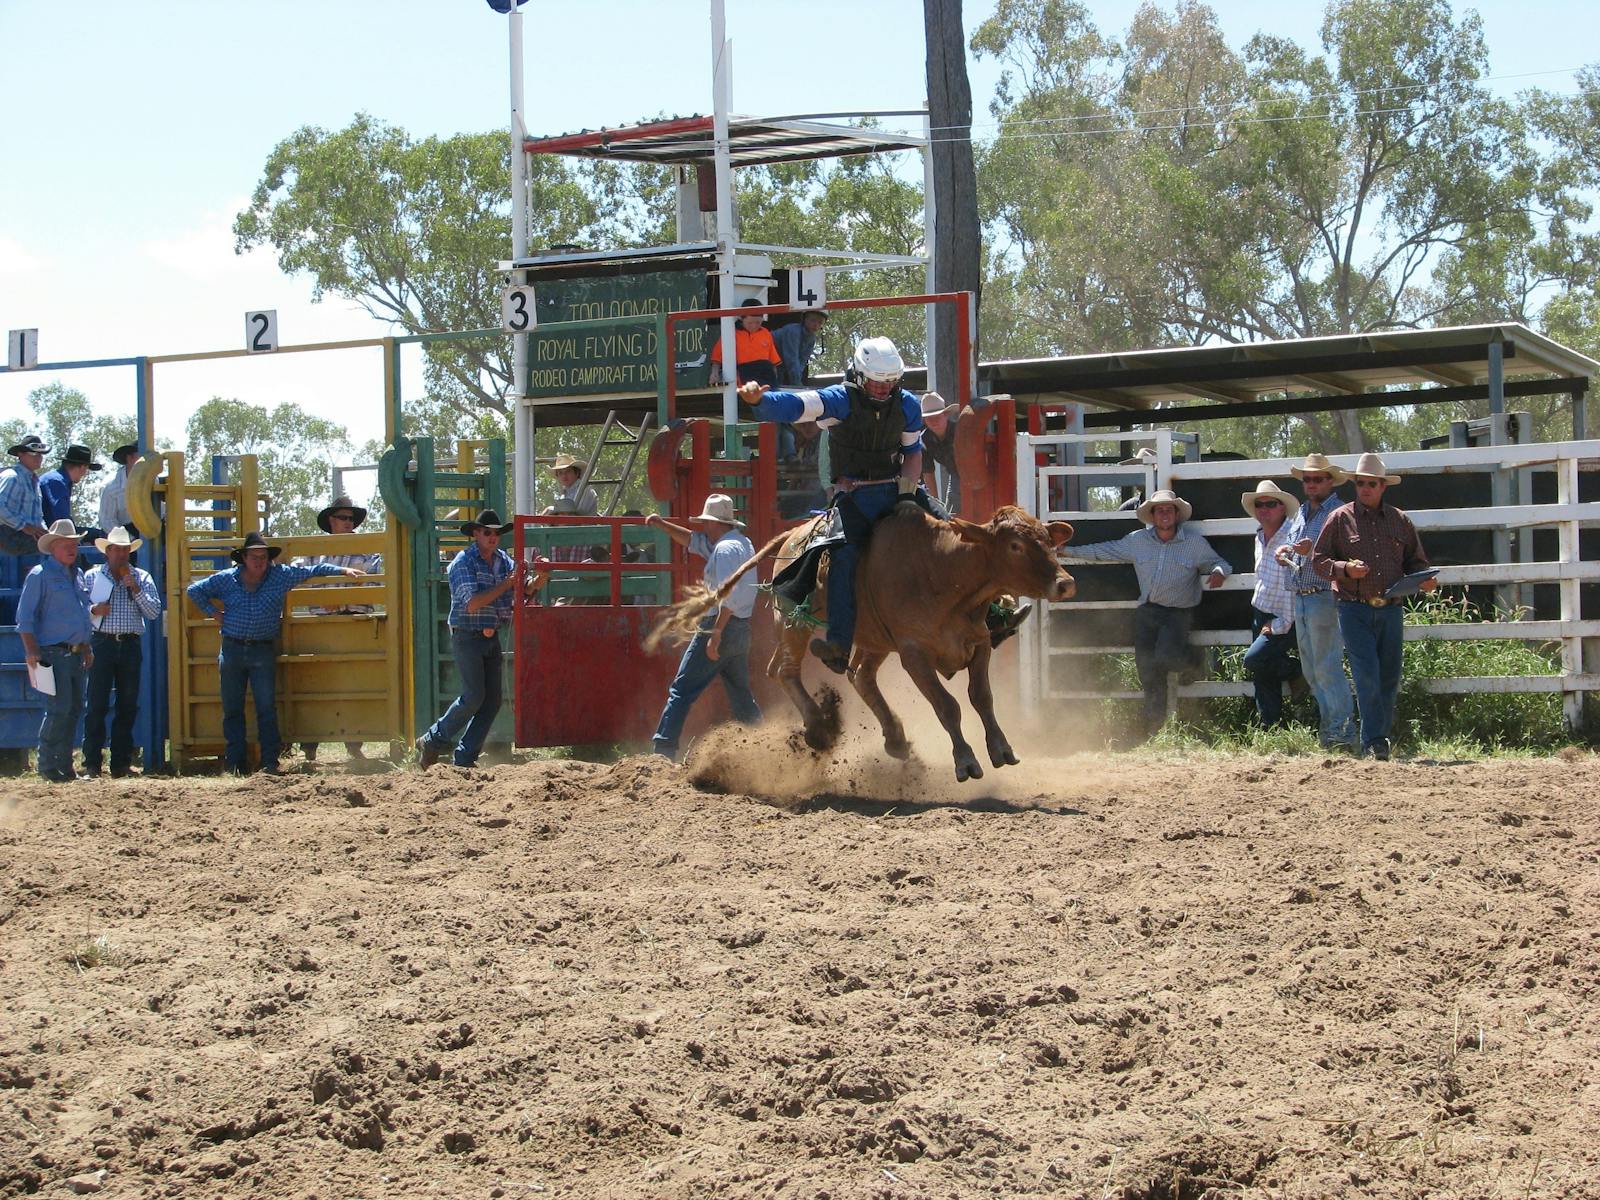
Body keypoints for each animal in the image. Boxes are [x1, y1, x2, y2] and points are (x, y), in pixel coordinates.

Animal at [649, 502, 1075, 784]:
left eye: (1046, 539)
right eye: (1015, 546)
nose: (1065, 582)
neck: (944, 571)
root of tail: (793, 534)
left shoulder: (979, 642)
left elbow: (981, 697)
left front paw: (1002, 748)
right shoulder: (913, 654)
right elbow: (947, 706)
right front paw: (966, 761)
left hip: (873, 639)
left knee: (859, 676)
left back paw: (896, 738)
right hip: (793, 623)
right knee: (785, 670)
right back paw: (819, 727)